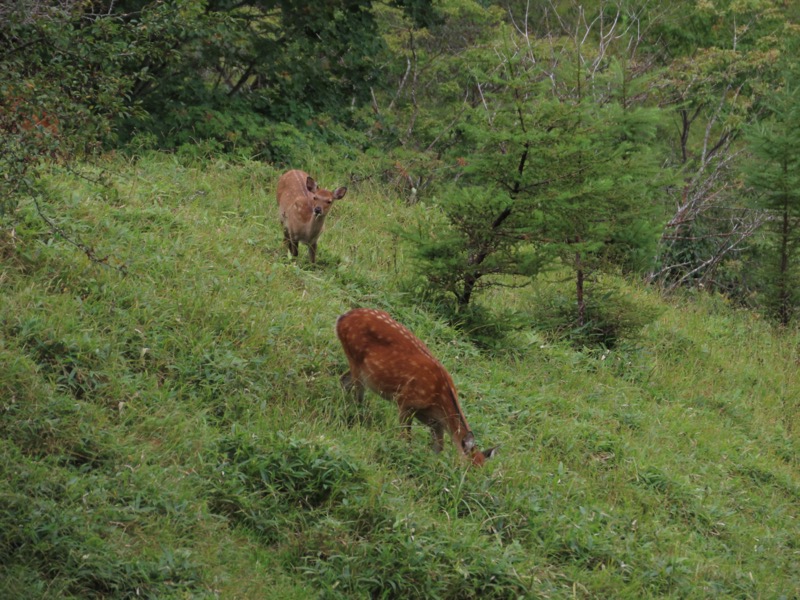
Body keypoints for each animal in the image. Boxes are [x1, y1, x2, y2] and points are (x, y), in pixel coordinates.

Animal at [334, 308, 496, 466]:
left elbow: (439, 447)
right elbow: (406, 437)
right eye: (470, 467)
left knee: (343, 380)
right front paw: (405, 455)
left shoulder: (433, 421)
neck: (438, 399)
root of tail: (342, 319)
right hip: (355, 359)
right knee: (356, 396)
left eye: (482, 469)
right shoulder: (405, 401)